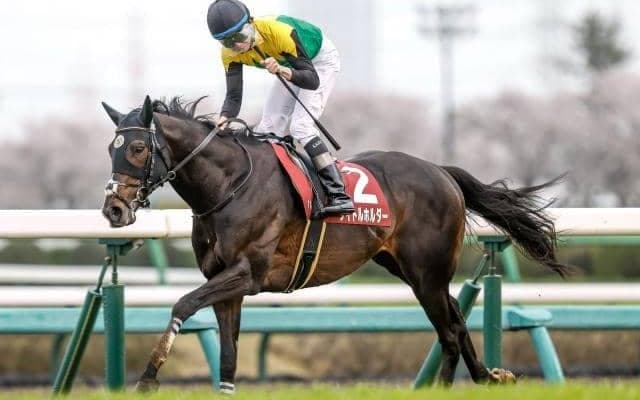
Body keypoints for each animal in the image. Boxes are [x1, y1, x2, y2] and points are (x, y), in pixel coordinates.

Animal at [101, 95, 570, 393]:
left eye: (138, 147)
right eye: (111, 148)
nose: (114, 210)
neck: (229, 186)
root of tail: (441, 171)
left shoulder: (247, 274)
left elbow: (182, 304)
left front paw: (148, 378)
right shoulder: (225, 281)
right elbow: (228, 350)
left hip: (427, 273)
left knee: (450, 331)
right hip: (409, 269)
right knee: (455, 316)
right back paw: (488, 376)